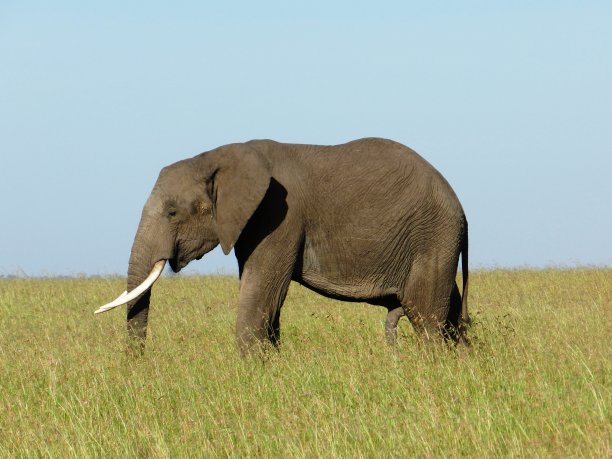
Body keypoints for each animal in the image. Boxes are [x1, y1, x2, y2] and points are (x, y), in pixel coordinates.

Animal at [97, 138, 468, 354]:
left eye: (173, 212)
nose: (137, 366)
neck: (216, 156)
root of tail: (461, 208)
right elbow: (267, 301)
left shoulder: (279, 214)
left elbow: (262, 291)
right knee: (449, 314)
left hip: (432, 236)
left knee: (426, 318)